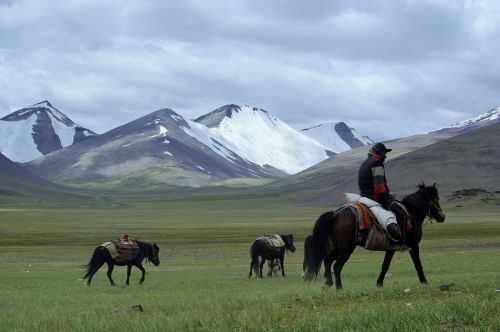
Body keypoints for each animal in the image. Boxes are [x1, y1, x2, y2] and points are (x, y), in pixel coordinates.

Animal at [304, 183, 446, 290]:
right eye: (436, 199)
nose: (442, 217)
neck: (411, 213)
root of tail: (335, 214)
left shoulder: (391, 248)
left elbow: (385, 265)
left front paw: (379, 284)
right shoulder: (413, 245)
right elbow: (417, 264)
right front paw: (424, 282)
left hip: (338, 247)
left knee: (328, 261)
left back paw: (328, 284)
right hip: (346, 248)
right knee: (336, 265)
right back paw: (339, 288)